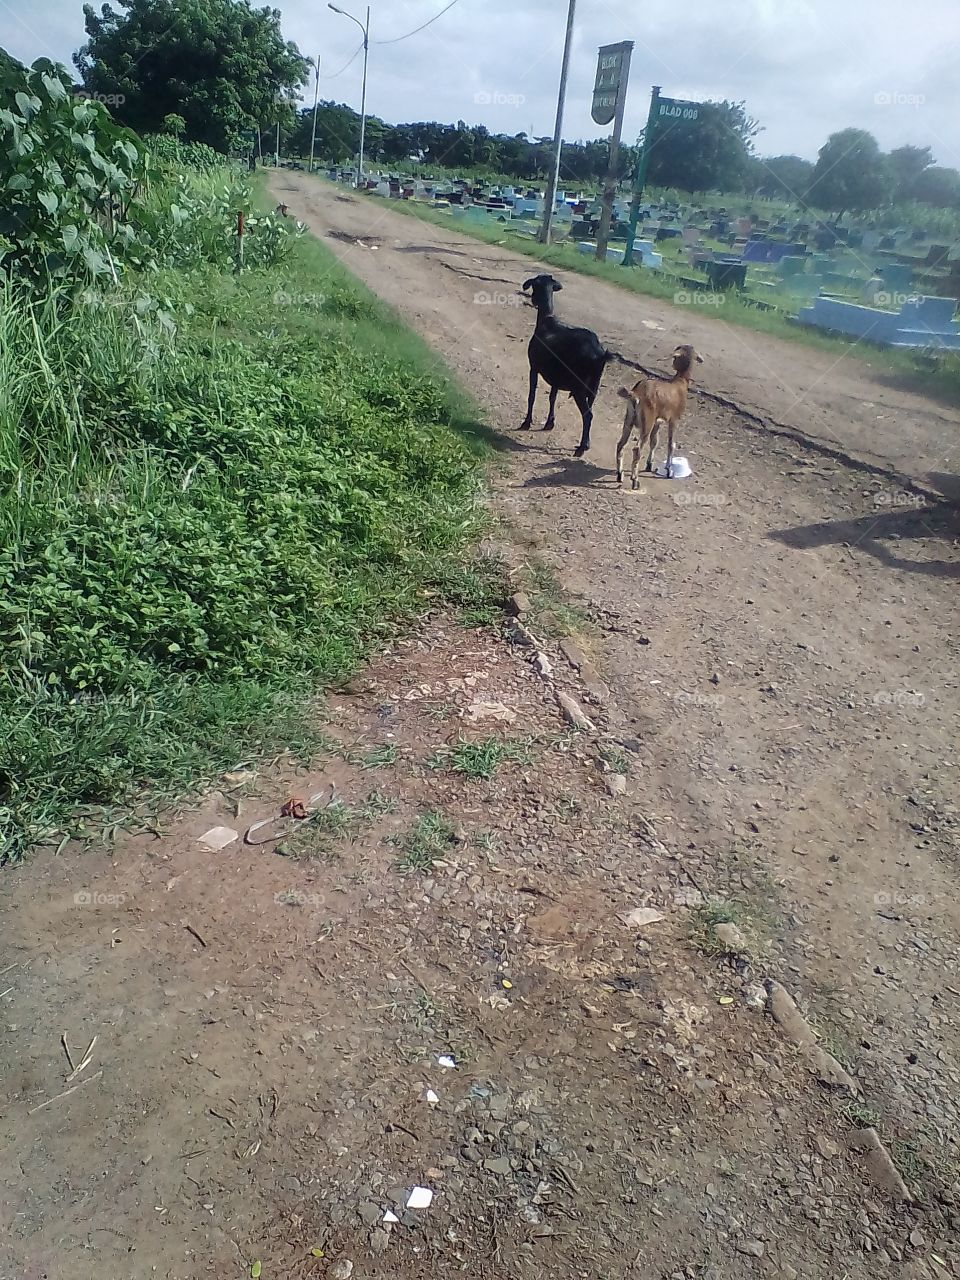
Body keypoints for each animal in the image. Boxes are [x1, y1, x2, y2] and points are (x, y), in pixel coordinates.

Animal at [522, 272, 619, 458]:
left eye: (534, 285)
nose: (533, 300)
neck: (546, 321)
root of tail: (600, 355)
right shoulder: (556, 377)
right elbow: (552, 397)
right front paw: (549, 423)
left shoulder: (533, 367)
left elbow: (532, 395)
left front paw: (526, 422)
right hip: (594, 388)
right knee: (590, 412)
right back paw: (585, 444)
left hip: (579, 388)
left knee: (588, 415)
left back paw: (582, 447)